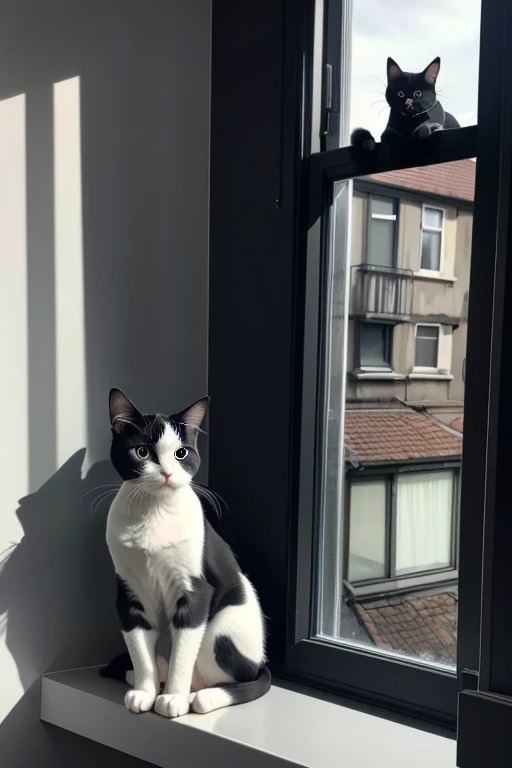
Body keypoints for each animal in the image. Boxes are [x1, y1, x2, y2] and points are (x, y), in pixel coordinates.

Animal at [101, 392, 272, 716]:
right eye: (142, 452)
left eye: (181, 453)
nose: (167, 473)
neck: (154, 513)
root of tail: (260, 663)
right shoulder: (128, 593)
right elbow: (139, 649)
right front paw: (144, 691)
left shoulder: (195, 589)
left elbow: (183, 651)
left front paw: (173, 699)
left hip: (222, 628)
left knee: (231, 677)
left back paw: (199, 695)